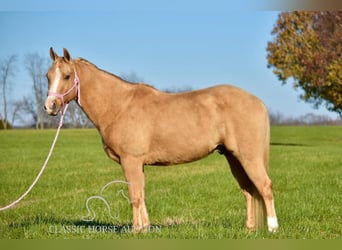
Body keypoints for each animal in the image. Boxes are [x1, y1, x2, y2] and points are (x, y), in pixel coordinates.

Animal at [44, 48, 278, 232]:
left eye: (67, 76)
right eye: (48, 76)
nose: (50, 106)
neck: (119, 106)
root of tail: (257, 101)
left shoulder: (131, 161)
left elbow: (134, 196)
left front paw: (135, 230)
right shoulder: (138, 164)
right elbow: (141, 194)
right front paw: (145, 228)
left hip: (248, 157)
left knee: (264, 186)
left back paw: (273, 227)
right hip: (233, 158)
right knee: (249, 190)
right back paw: (249, 229)